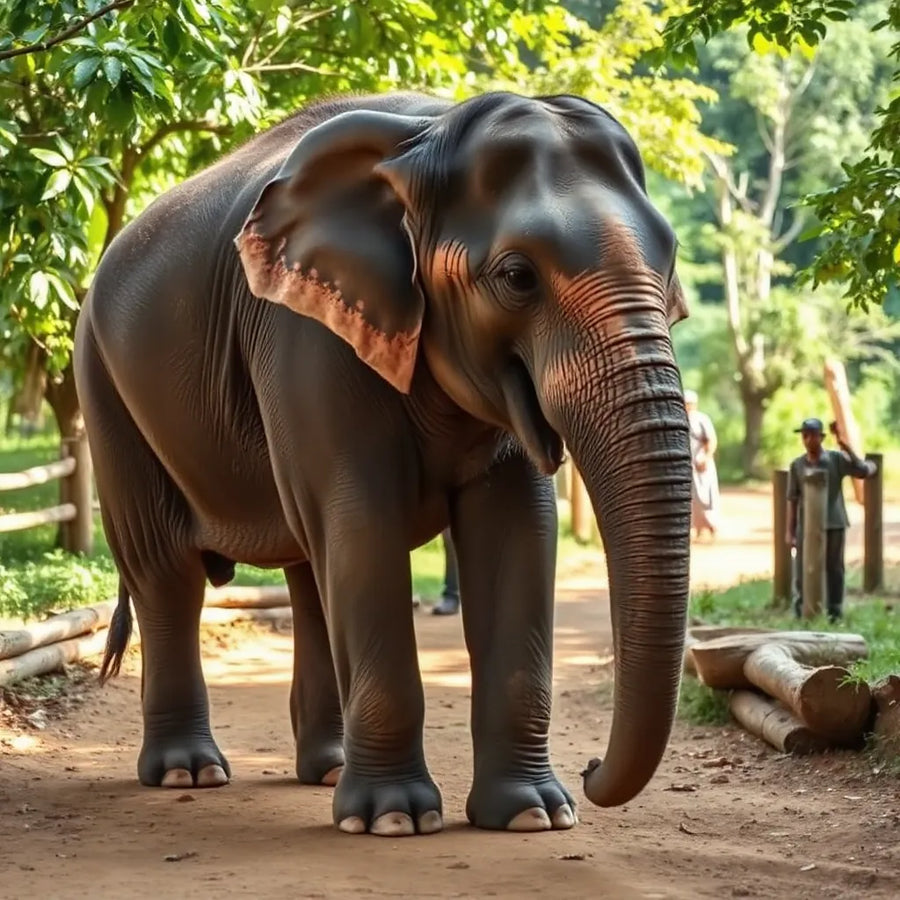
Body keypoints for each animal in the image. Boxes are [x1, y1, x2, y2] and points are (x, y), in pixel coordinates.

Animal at [73, 89, 692, 838]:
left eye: (670, 262)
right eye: (517, 277)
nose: (593, 769)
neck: (431, 136)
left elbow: (519, 525)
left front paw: (532, 815)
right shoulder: (306, 335)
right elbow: (363, 518)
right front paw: (393, 820)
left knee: (307, 569)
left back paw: (328, 768)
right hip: (105, 388)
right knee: (167, 572)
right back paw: (187, 773)